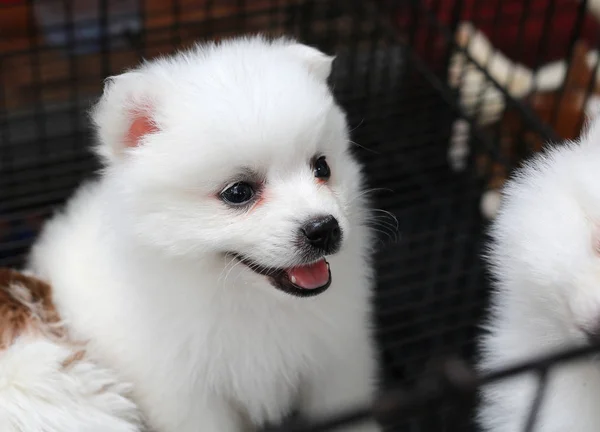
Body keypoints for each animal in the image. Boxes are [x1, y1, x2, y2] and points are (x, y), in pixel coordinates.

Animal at [28, 36, 380, 432]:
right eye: (238, 192)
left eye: (322, 167)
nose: (323, 228)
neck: (251, 302)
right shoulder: (189, 395)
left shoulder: (336, 361)